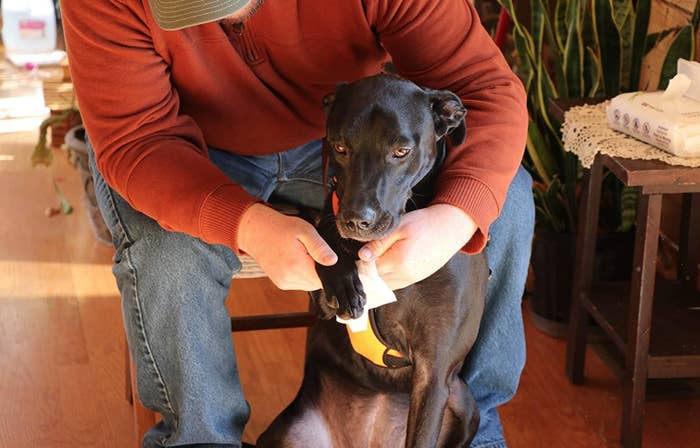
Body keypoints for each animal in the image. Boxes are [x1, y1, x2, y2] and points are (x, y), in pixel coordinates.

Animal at [256, 75, 486, 446]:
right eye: (340, 147)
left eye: (401, 151)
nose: (356, 220)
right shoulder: (321, 298)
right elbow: (319, 230)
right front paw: (344, 281)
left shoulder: (434, 373)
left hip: (463, 400)